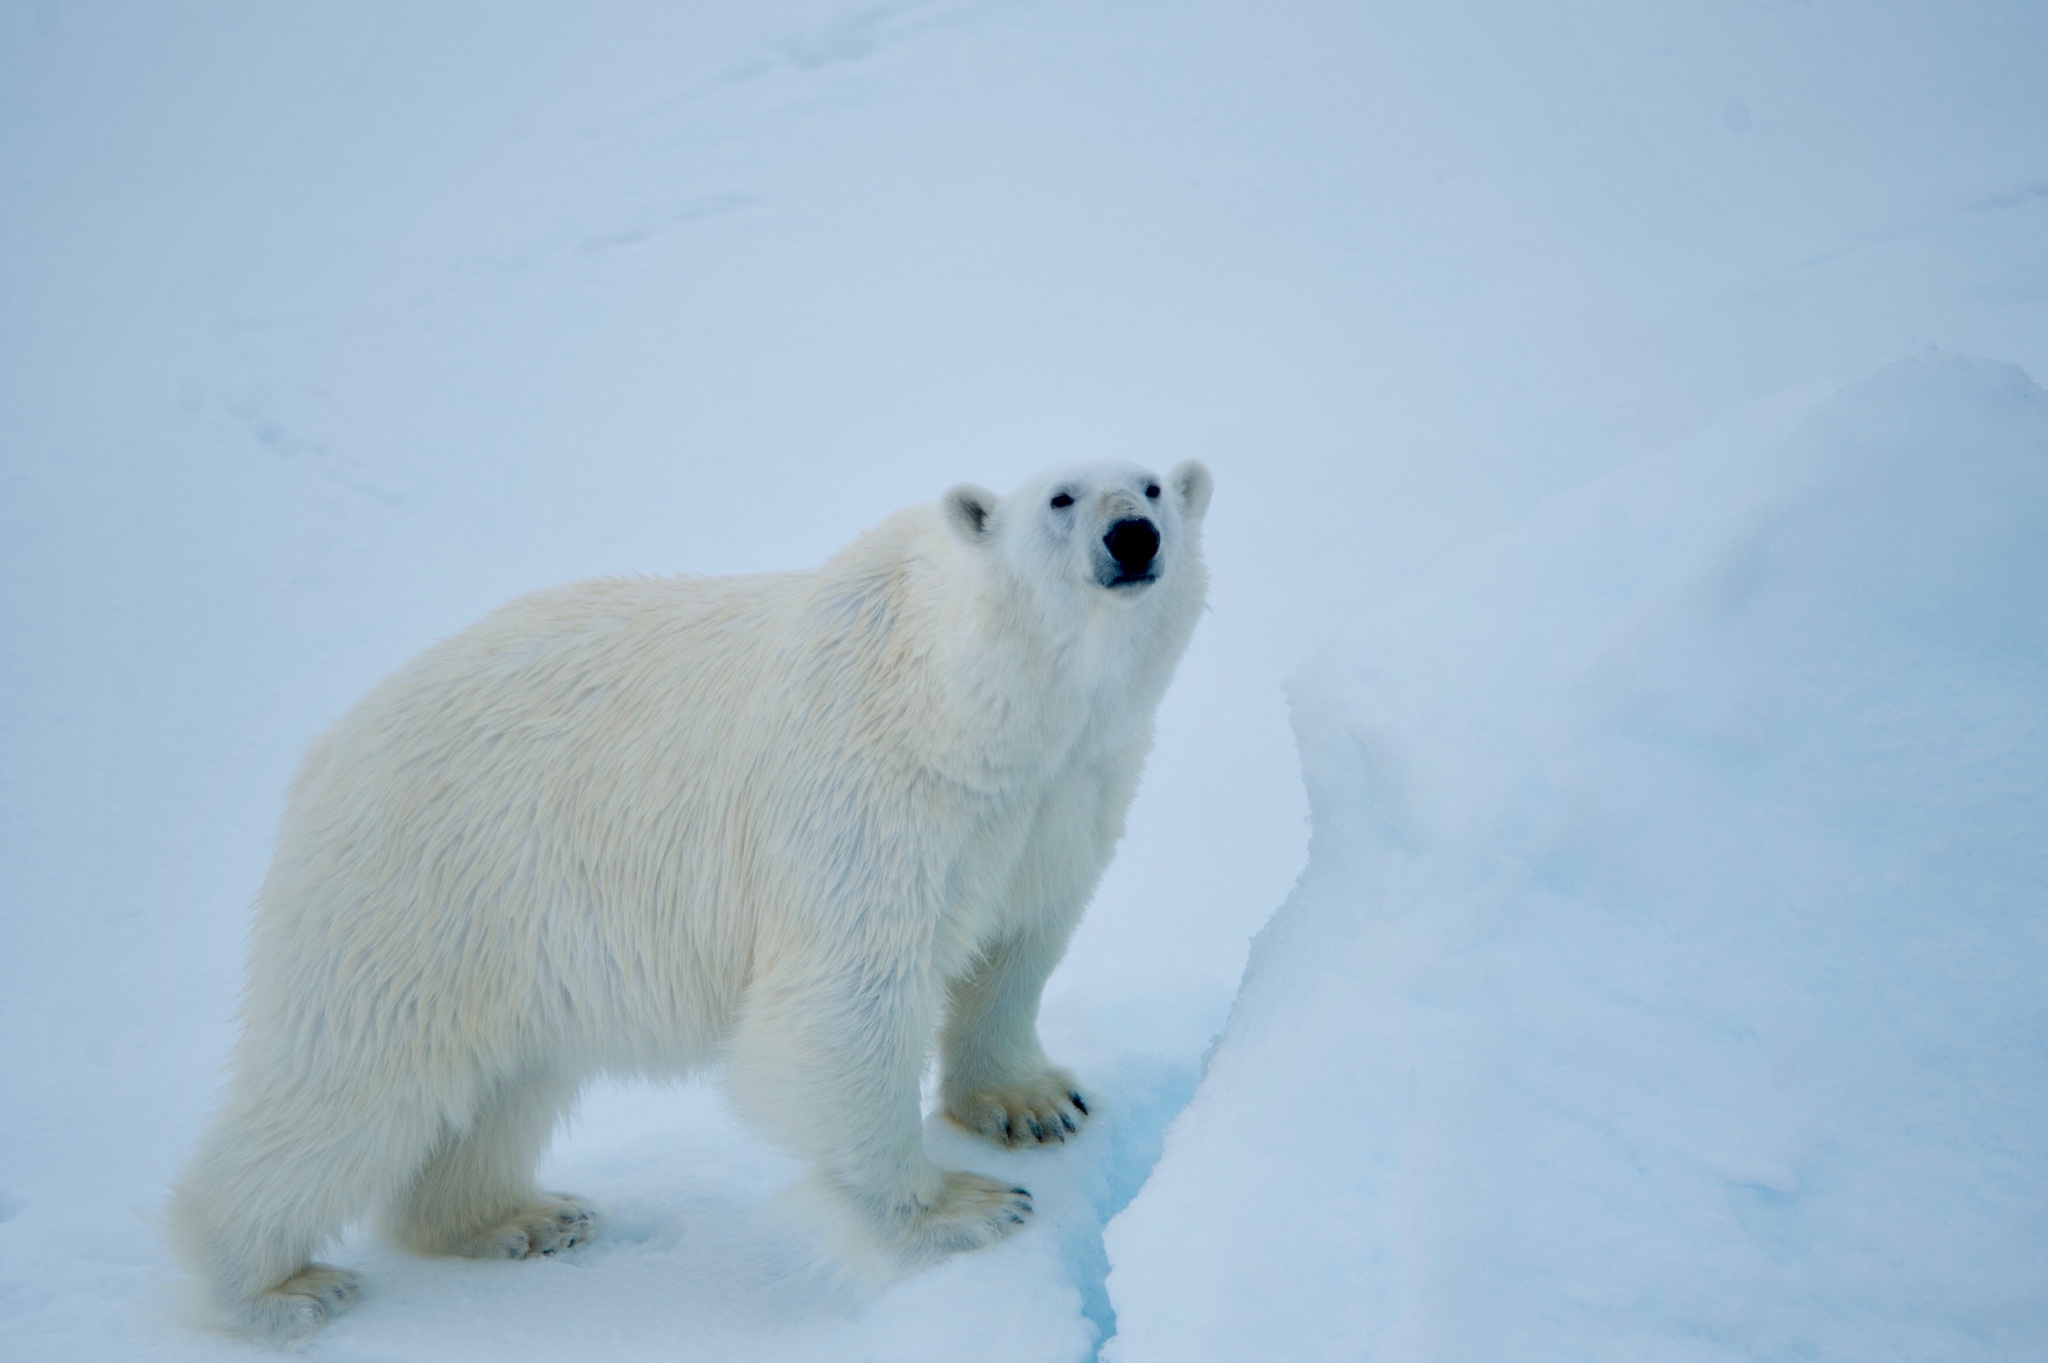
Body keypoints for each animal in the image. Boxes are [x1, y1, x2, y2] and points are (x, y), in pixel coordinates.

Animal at [172, 456, 1212, 1334]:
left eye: (1153, 485)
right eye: (1061, 497)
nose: (1132, 537)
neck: (980, 699)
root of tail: (325, 753)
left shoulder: (1061, 792)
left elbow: (1022, 937)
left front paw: (1034, 1104)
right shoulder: (873, 791)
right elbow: (844, 995)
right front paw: (959, 1205)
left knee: (496, 1086)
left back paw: (517, 1216)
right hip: (419, 889)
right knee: (348, 1083)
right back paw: (274, 1286)